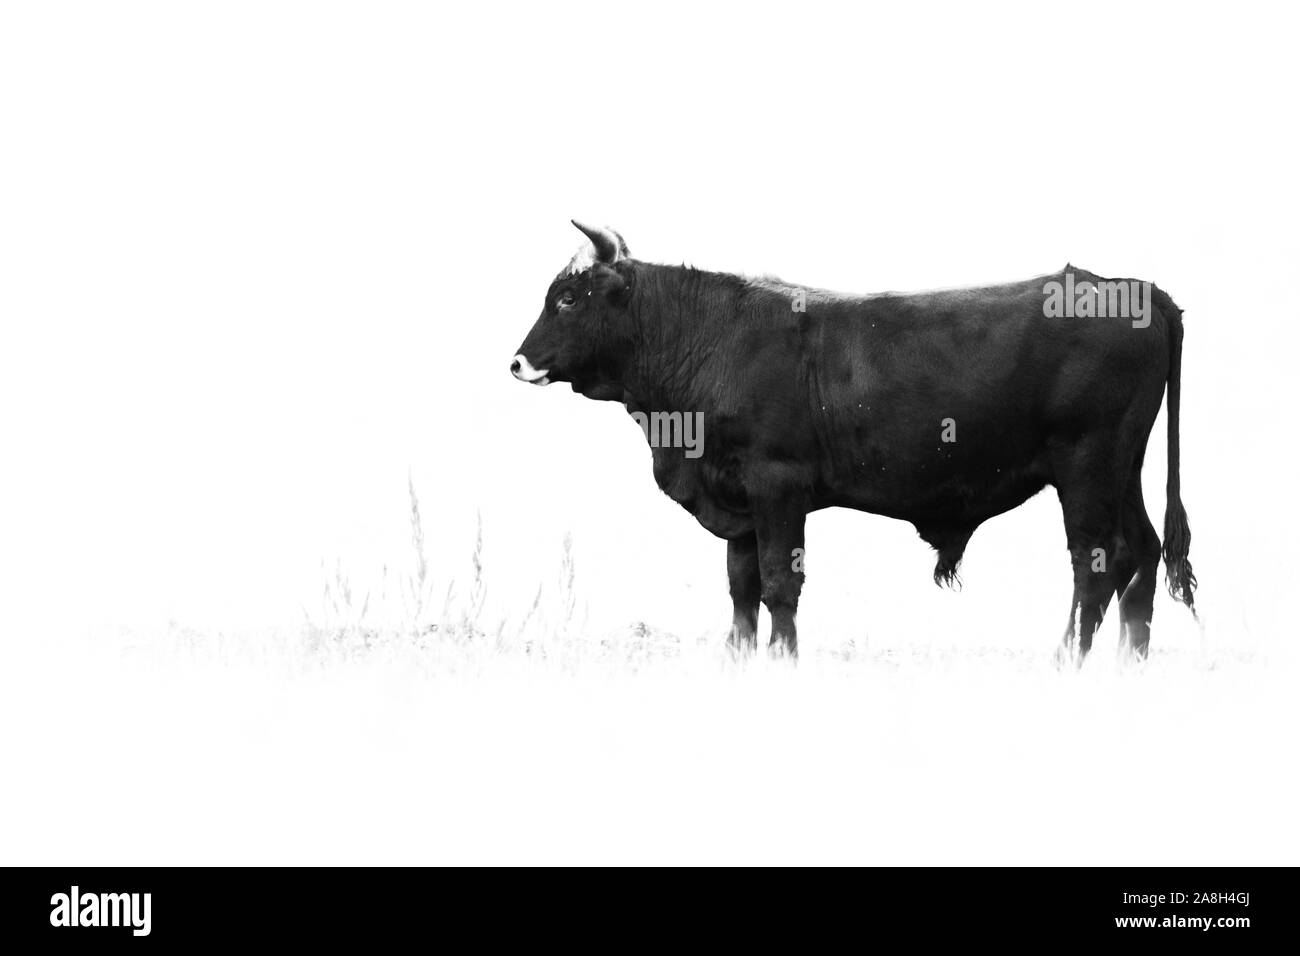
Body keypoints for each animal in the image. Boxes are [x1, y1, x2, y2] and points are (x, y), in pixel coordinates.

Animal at [511, 221, 1197, 663]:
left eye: (567, 297)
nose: (516, 363)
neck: (710, 338)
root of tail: (1130, 286)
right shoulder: (738, 499)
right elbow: (742, 589)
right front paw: (739, 660)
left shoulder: (777, 484)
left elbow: (778, 584)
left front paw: (783, 661)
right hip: (1121, 468)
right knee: (1140, 552)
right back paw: (1129, 660)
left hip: (1086, 467)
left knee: (1096, 564)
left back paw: (1067, 659)